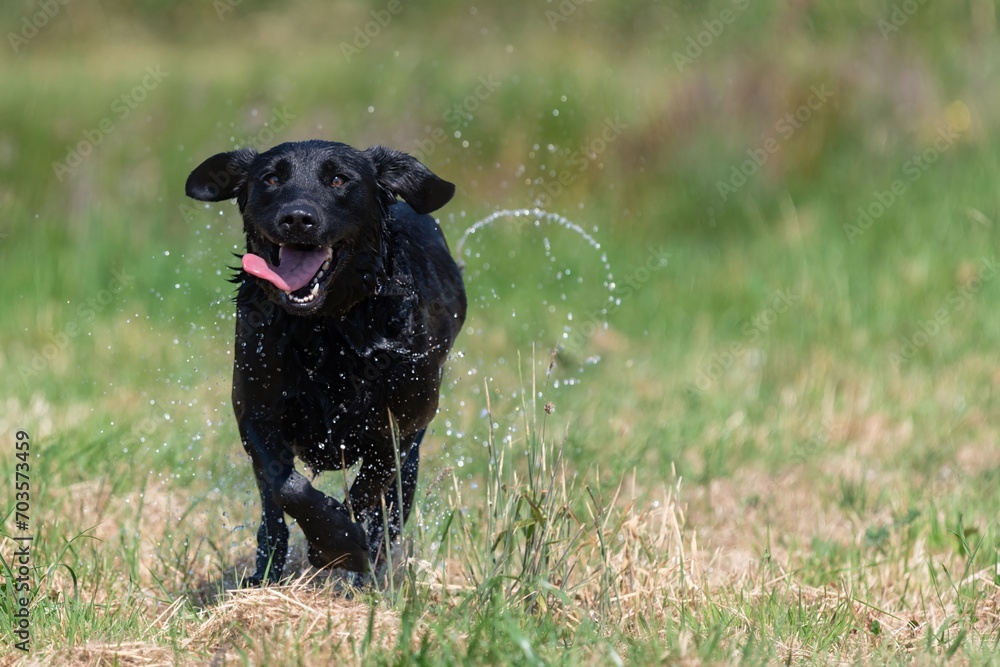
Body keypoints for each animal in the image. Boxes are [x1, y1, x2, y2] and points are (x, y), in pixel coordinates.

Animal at [186, 141, 466, 584]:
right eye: (271, 178)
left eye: (338, 179)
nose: (297, 218)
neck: (325, 328)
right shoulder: (255, 413)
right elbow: (288, 486)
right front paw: (335, 542)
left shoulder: (401, 425)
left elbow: (369, 488)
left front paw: (345, 546)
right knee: (272, 515)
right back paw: (265, 575)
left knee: (390, 511)